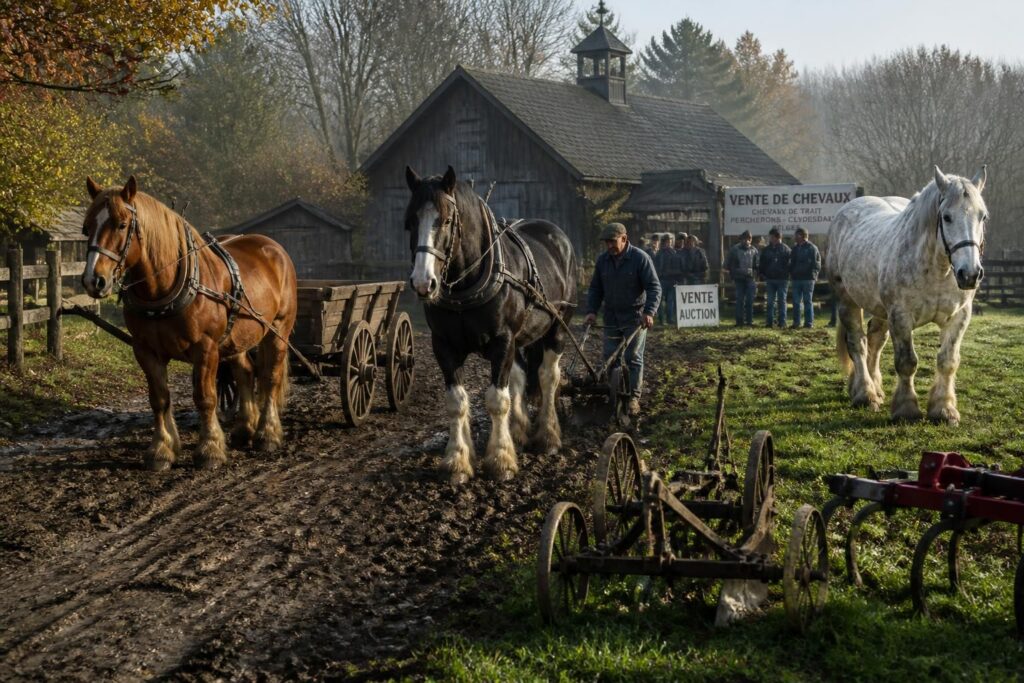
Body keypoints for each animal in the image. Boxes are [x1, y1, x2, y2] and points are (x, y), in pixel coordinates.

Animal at [80, 175, 298, 470]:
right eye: (87, 228)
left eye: (122, 224)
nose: (94, 280)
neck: (164, 290)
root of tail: (272, 246)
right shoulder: (145, 350)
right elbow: (159, 398)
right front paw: (162, 449)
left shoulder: (205, 349)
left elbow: (205, 398)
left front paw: (210, 449)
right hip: (238, 337)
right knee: (245, 373)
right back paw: (244, 428)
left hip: (278, 330)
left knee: (270, 377)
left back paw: (268, 434)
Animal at [404, 166, 577, 484]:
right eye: (409, 222)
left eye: (446, 220)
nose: (423, 283)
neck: (465, 287)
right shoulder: (443, 346)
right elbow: (457, 402)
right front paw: (457, 461)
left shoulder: (502, 342)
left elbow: (497, 399)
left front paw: (500, 460)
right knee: (520, 377)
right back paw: (519, 431)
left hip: (557, 327)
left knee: (548, 376)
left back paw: (547, 436)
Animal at [827, 165, 988, 426]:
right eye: (946, 217)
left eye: (982, 217)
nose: (970, 274)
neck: (937, 270)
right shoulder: (900, 317)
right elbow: (907, 362)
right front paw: (906, 409)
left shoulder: (959, 317)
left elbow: (948, 361)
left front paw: (944, 409)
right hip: (848, 301)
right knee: (858, 344)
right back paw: (865, 393)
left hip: (880, 309)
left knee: (875, 340)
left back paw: (876, 388)